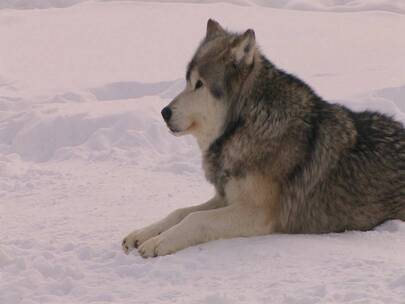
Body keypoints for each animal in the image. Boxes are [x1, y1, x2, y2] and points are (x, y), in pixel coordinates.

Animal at [120, 18, 404, 256]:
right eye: (187, 80)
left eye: (199, 84)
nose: (164, 112)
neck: (245, 124)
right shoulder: (225, 197)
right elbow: (179, 212)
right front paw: (142, 234)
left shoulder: (257, 213)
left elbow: (194, 219)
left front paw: (157, 242)